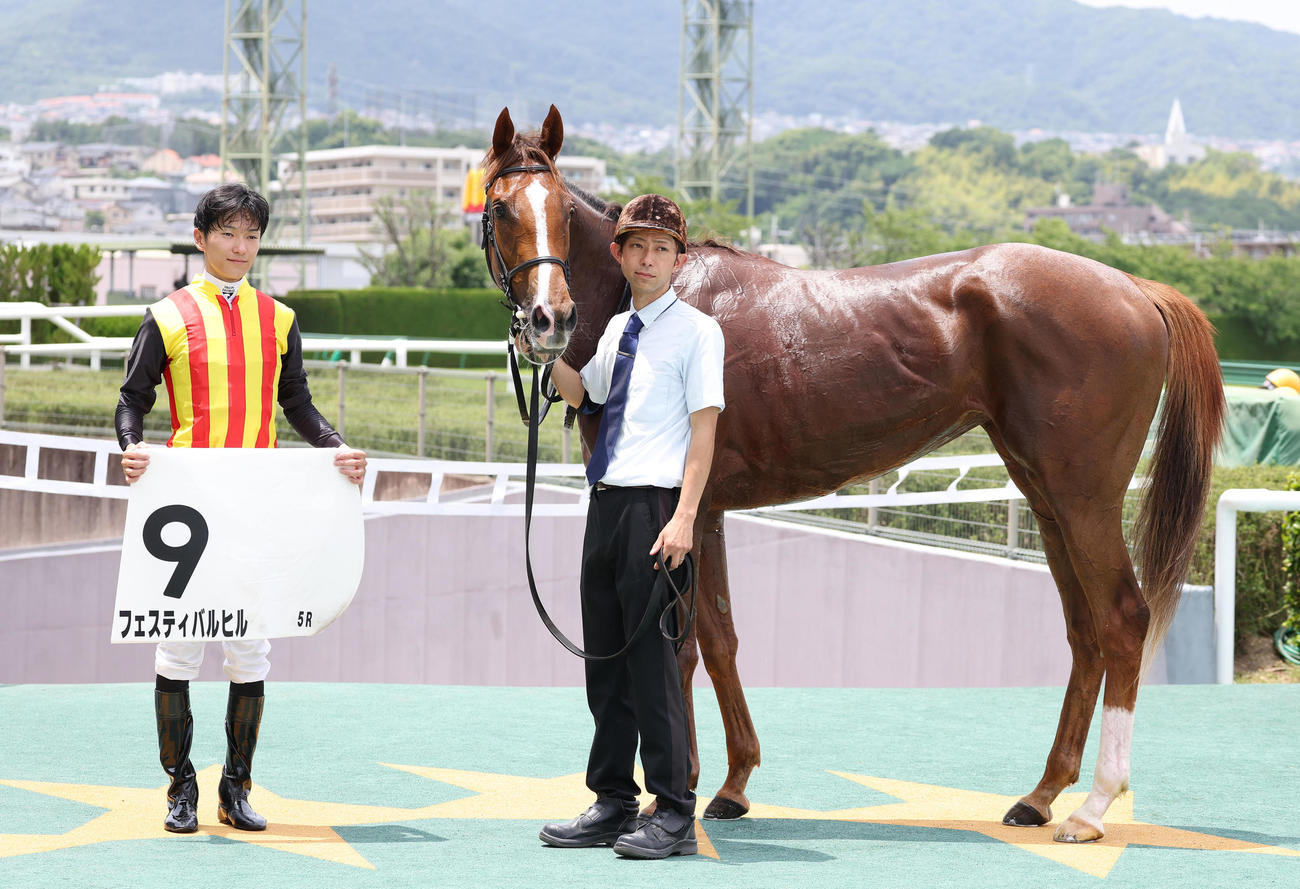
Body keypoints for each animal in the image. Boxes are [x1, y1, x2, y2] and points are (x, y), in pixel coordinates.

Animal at [482, 104, 1225, 843]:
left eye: (561, 212)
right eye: (500, 208)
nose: (549, 319)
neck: (659, 302)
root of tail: (1135, 288)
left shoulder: (685, 508)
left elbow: (684, 646)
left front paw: (678, 796)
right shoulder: (708, 511)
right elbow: (719, 639)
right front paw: (731, 784)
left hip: (1085, 497)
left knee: (1123, 620)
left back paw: (1093, 807)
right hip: (1047, 498)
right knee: (1083, 631)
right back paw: (1039, 796)